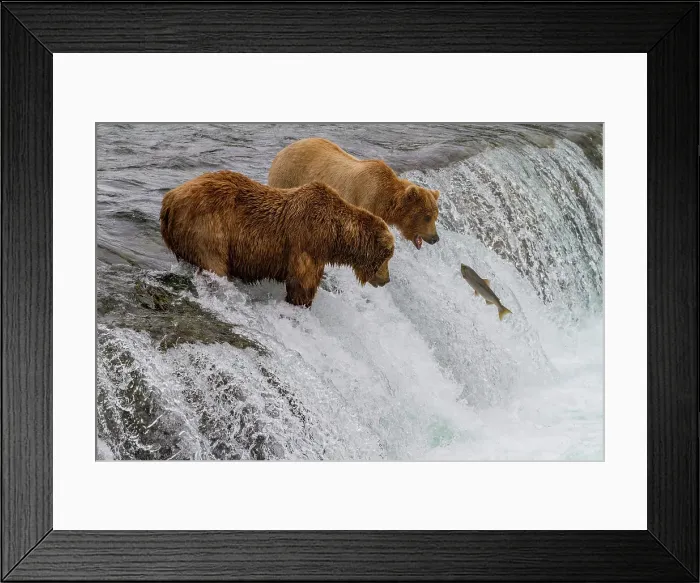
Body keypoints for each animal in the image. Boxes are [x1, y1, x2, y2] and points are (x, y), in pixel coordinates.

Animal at [160, 171, 394, 307]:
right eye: (388, 255)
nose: (386, 279)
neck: (334, 235)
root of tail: (169, 200)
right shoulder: (307, 239)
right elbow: (302, 281)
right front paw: (301, 302)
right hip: (207, 227)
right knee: (214, 263)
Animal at [268, 137, 440, 250]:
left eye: (435, 216)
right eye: (427, 217)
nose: (435, 238)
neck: (384, 199)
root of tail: (283, 149)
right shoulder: (363, 199)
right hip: (288, 176)